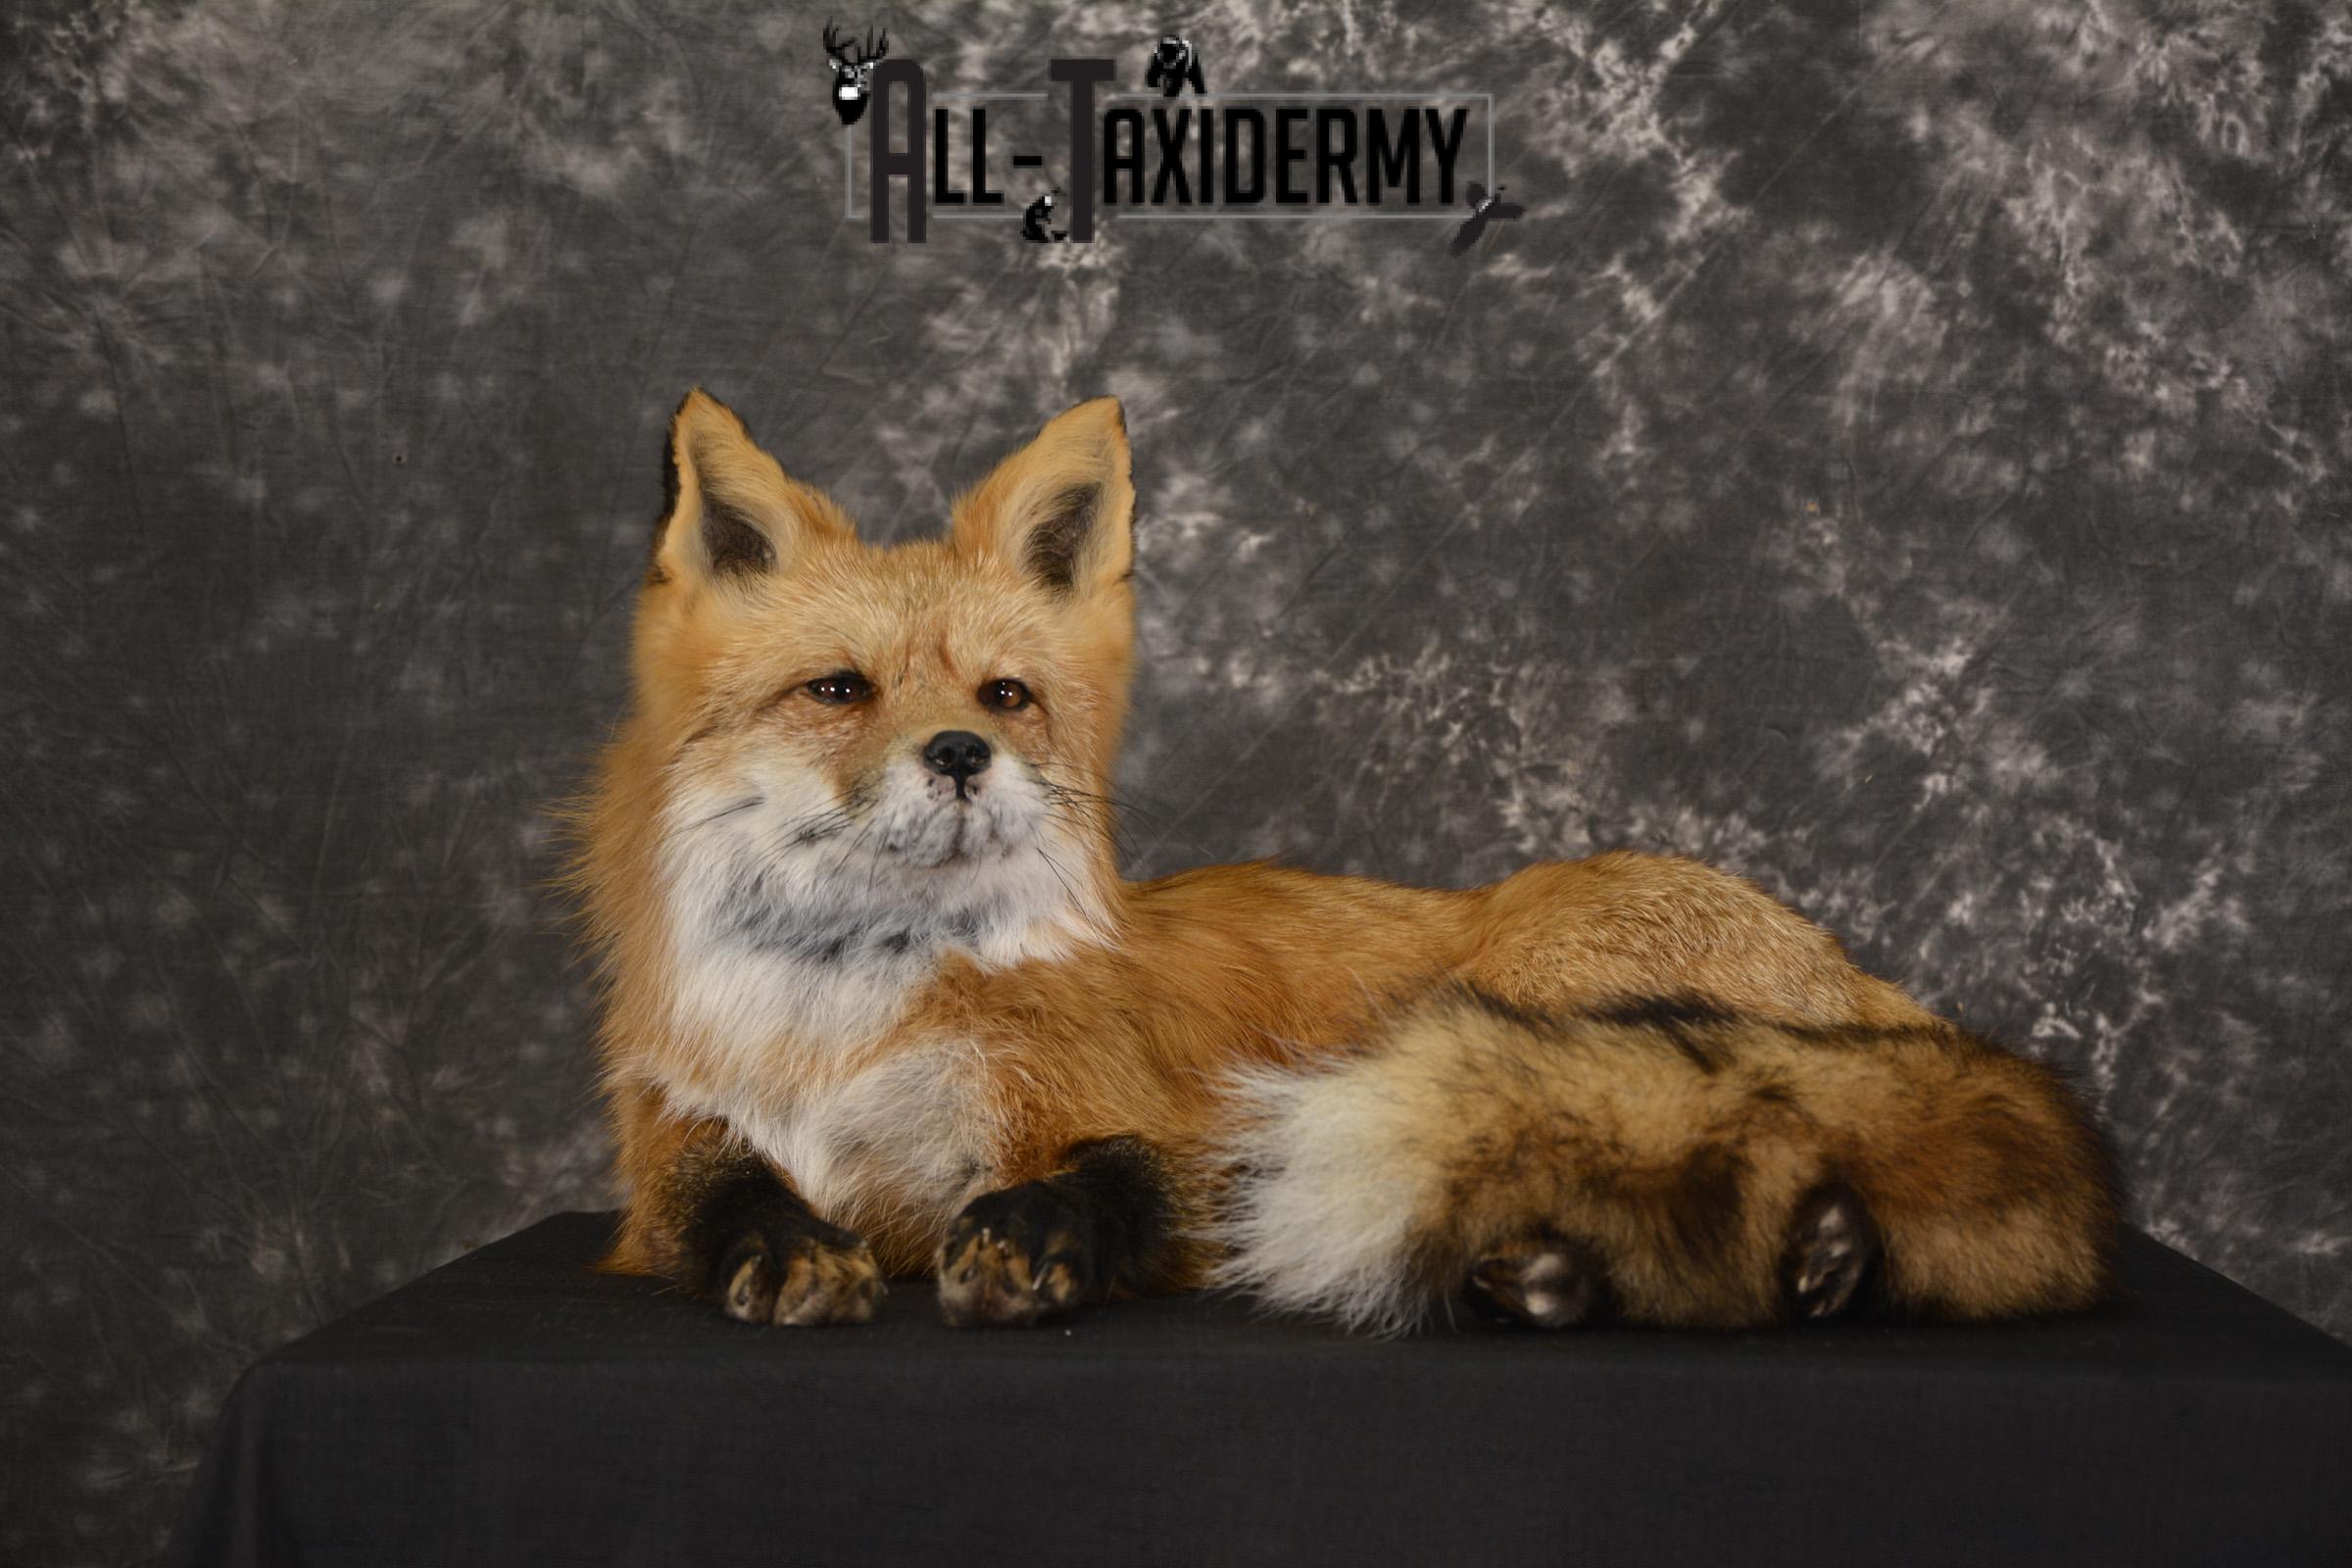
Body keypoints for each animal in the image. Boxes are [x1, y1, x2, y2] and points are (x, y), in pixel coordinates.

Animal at [571, 390, 2117, 1334]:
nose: (961, 754)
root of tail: (1872, 983)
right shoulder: (673, 1153)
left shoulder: (1177, 1132)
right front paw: (787, 1249)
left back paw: (1814, 1260)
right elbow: (722, 1201)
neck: (849, 1023)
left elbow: (1108, 1180)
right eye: (839, 690)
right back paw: (1662, 1275)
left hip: (1538, 991)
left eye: (1004, 696)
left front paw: (1027, 1241)